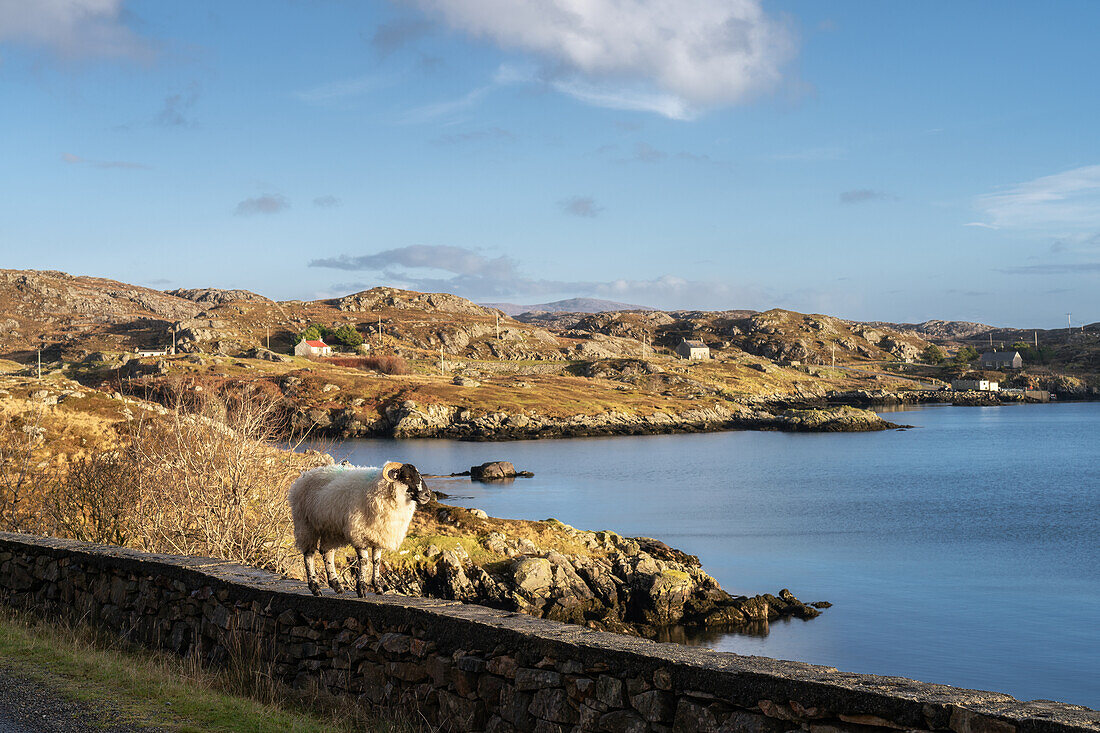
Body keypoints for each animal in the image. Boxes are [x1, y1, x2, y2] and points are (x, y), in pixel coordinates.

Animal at [286, 462, 431, 594]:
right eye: (407, 477)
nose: (427, 495)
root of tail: (304, 476)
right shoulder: (358, 533)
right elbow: (364, 561)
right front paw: (361, 588)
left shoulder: (379, 534)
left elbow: (376, 561)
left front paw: (378, 587)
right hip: (306, 525)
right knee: (309, 554)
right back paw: (315, 587)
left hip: (330, 530)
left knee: (327, 553)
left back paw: (336, 585)